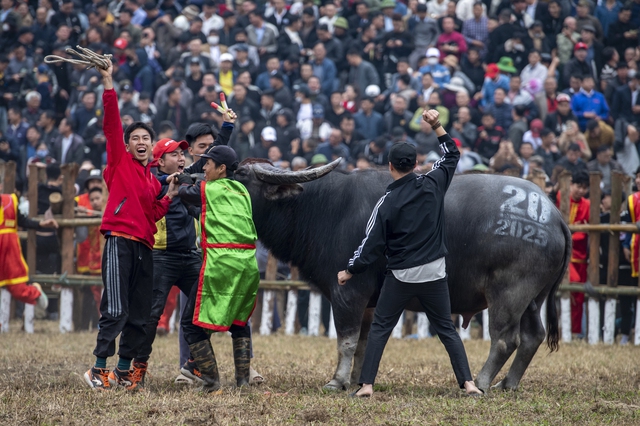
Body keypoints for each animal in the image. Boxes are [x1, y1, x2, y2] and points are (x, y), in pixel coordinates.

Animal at [234, 160, 568, 392]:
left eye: (240, 174)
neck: (323, 209)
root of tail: (553, 215)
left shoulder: (348, 292)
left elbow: (346, 341)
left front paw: (336, 381)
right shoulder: (368, 302)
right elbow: (363, 342)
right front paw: (356, 380)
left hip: (509, 292)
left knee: (504, 339)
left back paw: (483, 382)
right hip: (533, 298)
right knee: (533, 336)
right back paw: (508, 384)